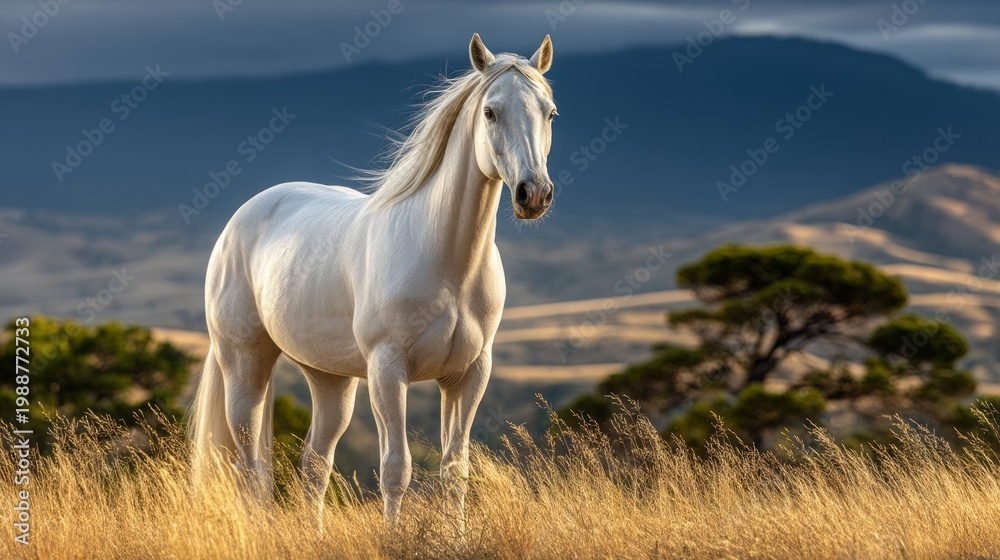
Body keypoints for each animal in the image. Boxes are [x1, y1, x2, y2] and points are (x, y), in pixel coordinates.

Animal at [190, 33, 557, 526]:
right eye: (490, 112)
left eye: (550, 112)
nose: (533, 194)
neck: (446, 264)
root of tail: (243, 217)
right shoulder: (387, 371)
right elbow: (396, 468)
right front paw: (393, 535)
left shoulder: (468, 375)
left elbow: (455, 470)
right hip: (245, 365)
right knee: (250, 469)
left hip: (330, 381)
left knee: (314, 464)